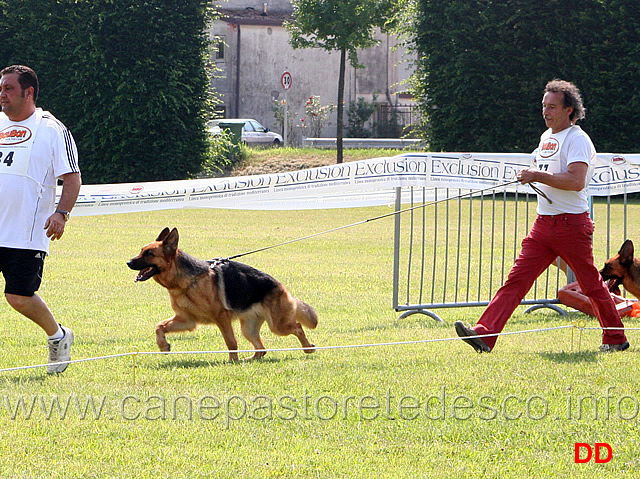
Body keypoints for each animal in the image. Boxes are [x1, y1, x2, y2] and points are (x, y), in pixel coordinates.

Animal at [127, 228, 318, 360]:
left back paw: (308, 348)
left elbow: (230, 341)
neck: (187, 281)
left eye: (149, 253)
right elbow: (159, 326)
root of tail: (281, 286)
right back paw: (250, 358)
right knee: (262, 349)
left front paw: (232, 361)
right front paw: (163, 346)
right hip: (249, 329)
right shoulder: (187, 320)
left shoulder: (221, 317)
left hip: (278, 325)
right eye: (141, 250)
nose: (128, 262)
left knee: (297, 327)